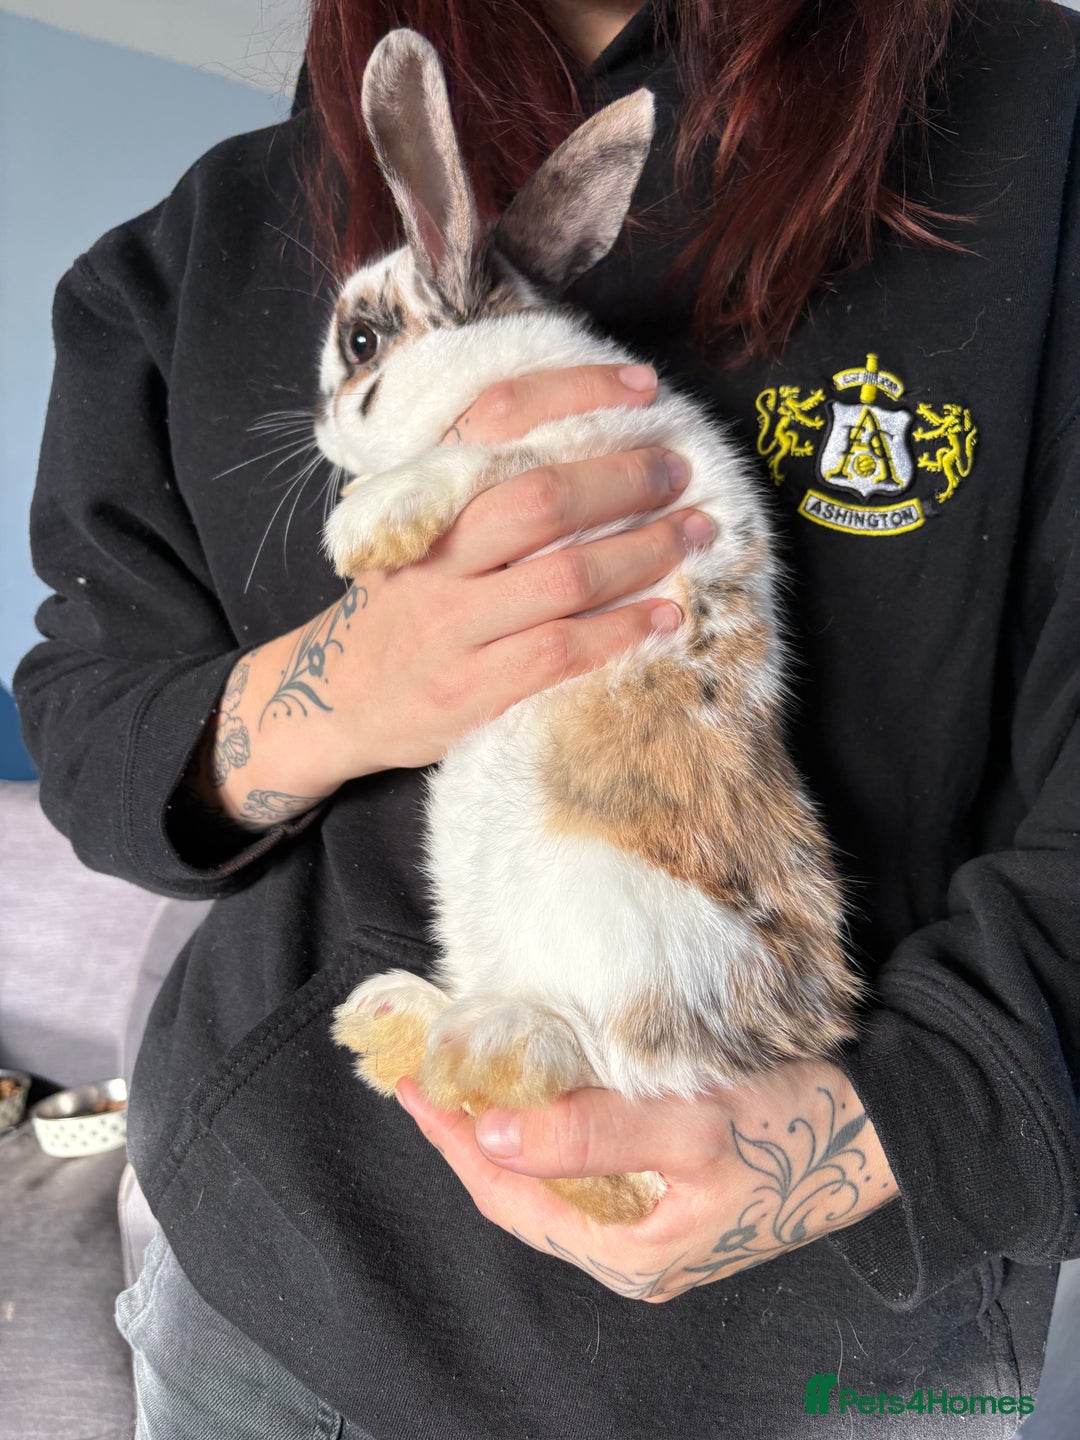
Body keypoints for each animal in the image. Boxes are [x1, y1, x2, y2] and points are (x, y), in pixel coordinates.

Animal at [319, 28, 863, 1226]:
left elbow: (486, 463)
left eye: (363, 339)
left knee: (613, 1083)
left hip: (633, 944)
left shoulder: (587, 459)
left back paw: (478, 1045)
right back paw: (391, 1021)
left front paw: (366, 527)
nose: (326, 430)